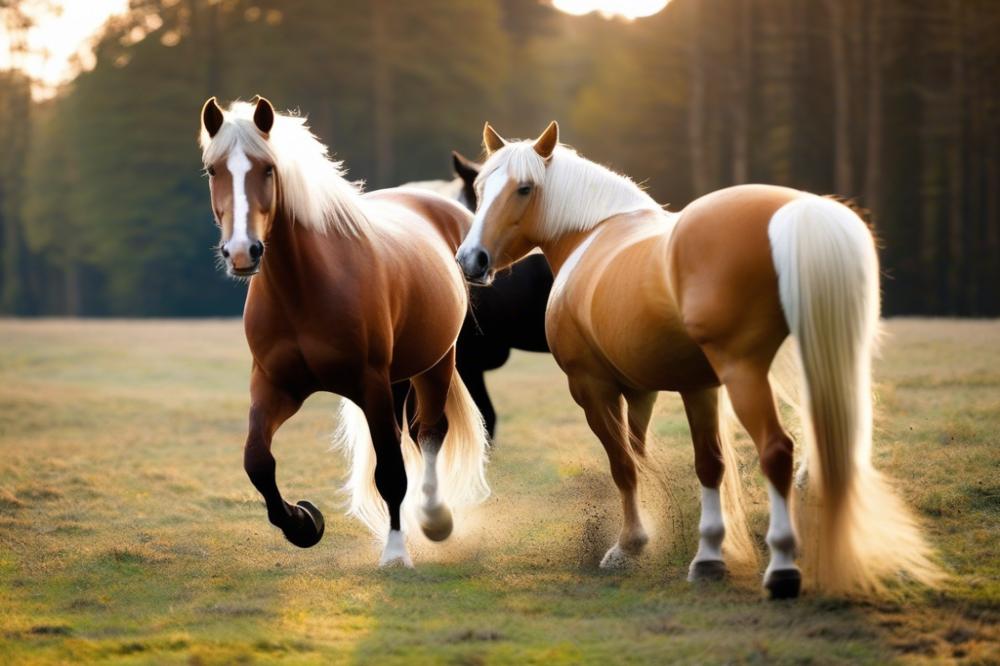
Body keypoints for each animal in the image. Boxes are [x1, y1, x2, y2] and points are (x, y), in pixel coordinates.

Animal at [196, 96, 488, 564]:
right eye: (213, 170)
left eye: (268, 169)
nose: (242, 252)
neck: (305, 289)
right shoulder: (275, 385)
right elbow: (257, 462)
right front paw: (303, 523)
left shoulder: (370, 384)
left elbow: (390, 472)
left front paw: (395, 552)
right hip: (397, 377)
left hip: (436, 363)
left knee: (429, 434)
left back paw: (434, 518)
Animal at [458, 120, 940, 596]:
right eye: (480, 188)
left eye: (524, 188)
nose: (471, 260)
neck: (592, 233)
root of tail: (795, 210)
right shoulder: (675, 389)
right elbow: (701, 462)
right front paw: (705, 555)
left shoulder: (593, 388)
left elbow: (623, 464)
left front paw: (629, 545)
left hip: (746, 376)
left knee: (777, 450)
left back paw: (783, 566)